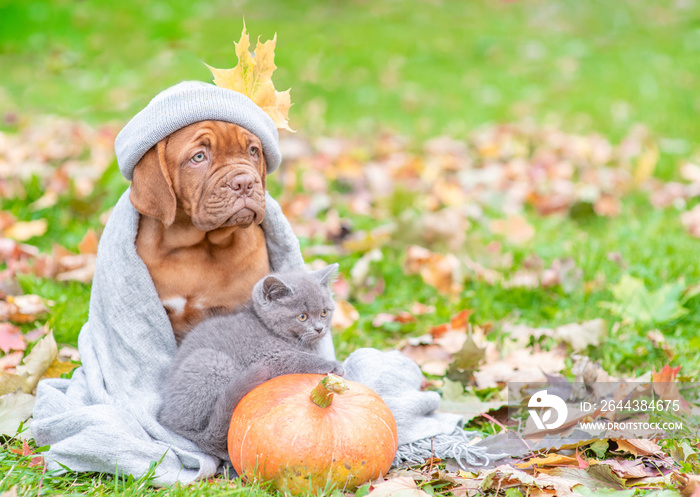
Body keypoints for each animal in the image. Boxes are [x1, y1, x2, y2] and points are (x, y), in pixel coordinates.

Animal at [159, 266, 344, 460]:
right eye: (302, 317)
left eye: (324, 312)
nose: (319, 328)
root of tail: (166, 415)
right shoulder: (268, 356)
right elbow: (299, 359)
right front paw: (333, 365)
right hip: (211, 362)